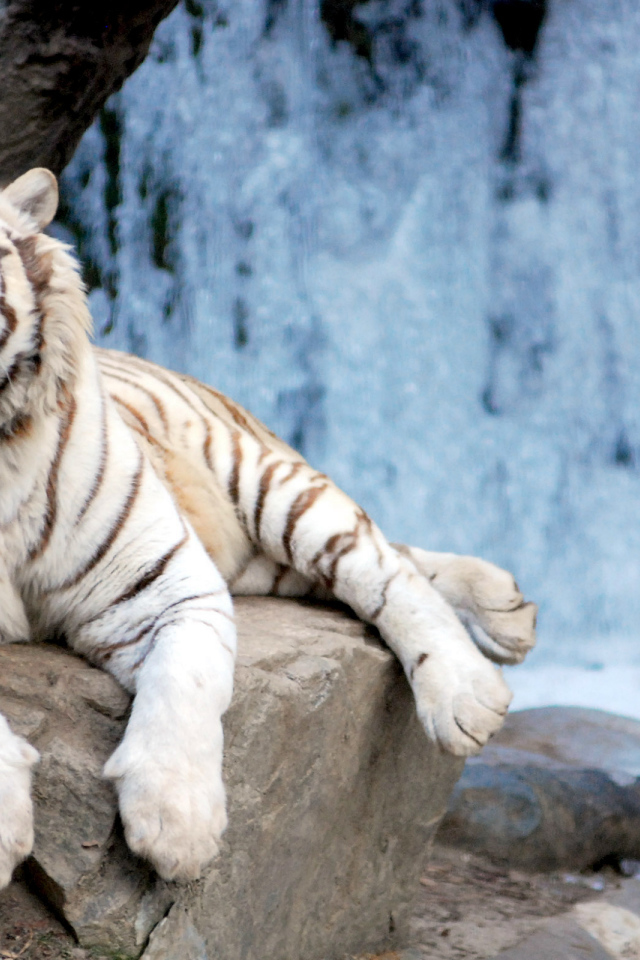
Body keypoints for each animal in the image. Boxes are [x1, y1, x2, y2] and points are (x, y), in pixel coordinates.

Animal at [0, 167, 536, 888]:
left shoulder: (159, 581)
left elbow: (187, 682)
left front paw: (178, 825)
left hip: (264, 482)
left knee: (381, 565)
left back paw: (469, 689)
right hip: (260, 561)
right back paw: (506, 607)